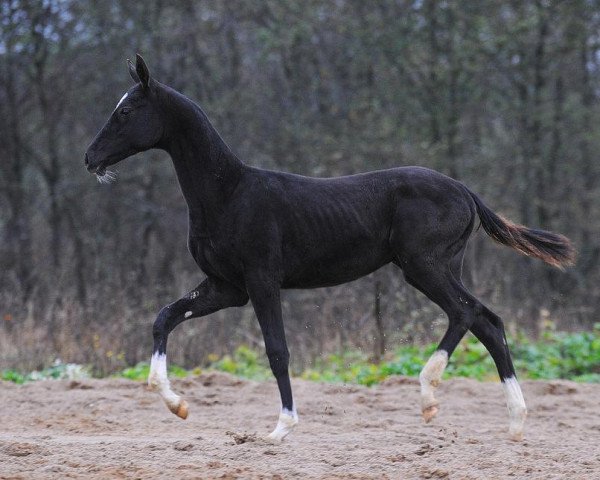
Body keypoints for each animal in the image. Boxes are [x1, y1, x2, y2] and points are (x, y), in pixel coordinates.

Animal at [85, 55, 576, 442]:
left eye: (127, 110)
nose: (90, 158)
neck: (229, 194)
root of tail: (465, 191)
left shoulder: (262, 281)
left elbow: (277, 350)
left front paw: (281, 428)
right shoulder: (226, 287)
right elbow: (164, 317)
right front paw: (177, 405)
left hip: (423, 266)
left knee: (466, 312)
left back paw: (429, 395)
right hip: (443, 267)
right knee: (489, 322)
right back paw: (514, 423)